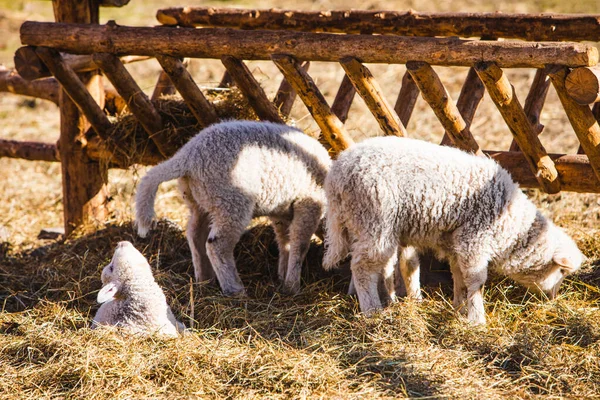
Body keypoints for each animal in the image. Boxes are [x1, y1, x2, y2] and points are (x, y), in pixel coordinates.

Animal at [135, 120, 330, 296]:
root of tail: (187, 156)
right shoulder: (310, 202)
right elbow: (300, 244)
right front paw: (293, 287)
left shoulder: (281, 213)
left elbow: (285, 242)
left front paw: (283, 277)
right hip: (231, 201)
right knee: (217, 245)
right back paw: (235, 290)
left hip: (200, 201)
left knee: (195, 235)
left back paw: (204, 281)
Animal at [326, 137, 584, 324]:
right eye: (561, 272)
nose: (553, 299)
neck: (511, 227)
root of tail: (337, 174)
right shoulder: (474, 240)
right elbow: (476, 280)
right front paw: (477, 319)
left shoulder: (457, 244)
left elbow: (459, 277)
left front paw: (459, 307)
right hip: (374, 219)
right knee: (362, 268)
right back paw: (372, 311)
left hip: (366, 224)